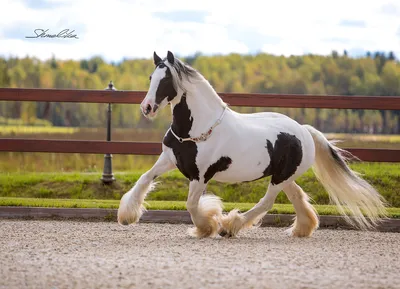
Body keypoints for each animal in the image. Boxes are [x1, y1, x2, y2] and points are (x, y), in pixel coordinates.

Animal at [118, 50, 388, 237]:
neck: (196, 129)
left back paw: (230, 226)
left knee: (267, 202)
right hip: (285, 176)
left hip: (279, 179)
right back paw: (301, 230)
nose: (147, 108)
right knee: (297, 196)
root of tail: (304, 131)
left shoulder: (200, 176)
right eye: (151, 77)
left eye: (166, 80)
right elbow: (144, 179)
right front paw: (126, 216)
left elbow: (192, 205)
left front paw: (208, 226)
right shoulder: (168, 160)